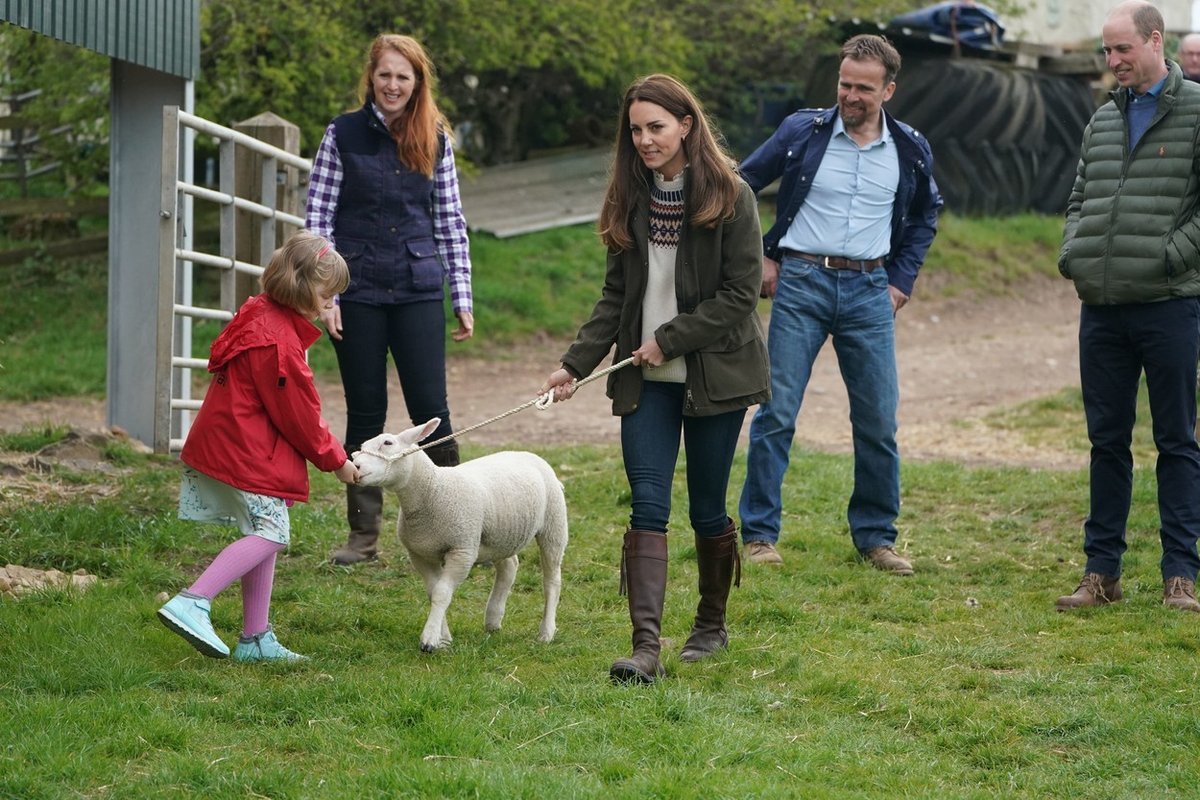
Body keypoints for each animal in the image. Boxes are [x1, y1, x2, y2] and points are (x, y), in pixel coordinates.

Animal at [350, 419, 566, 652]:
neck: (433, 490)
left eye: (387, 443)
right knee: (509, 567)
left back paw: (546, 632)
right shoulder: (420, 554)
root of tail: (527, 453)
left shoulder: (462, 550)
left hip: (554, 525)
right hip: (502, 534)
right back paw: (493, 619)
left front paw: (429, 639)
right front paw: (443, 639)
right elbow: (433, 592)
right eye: (362, 447)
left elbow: (442, 593)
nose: (356, 466)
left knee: (551, 580)